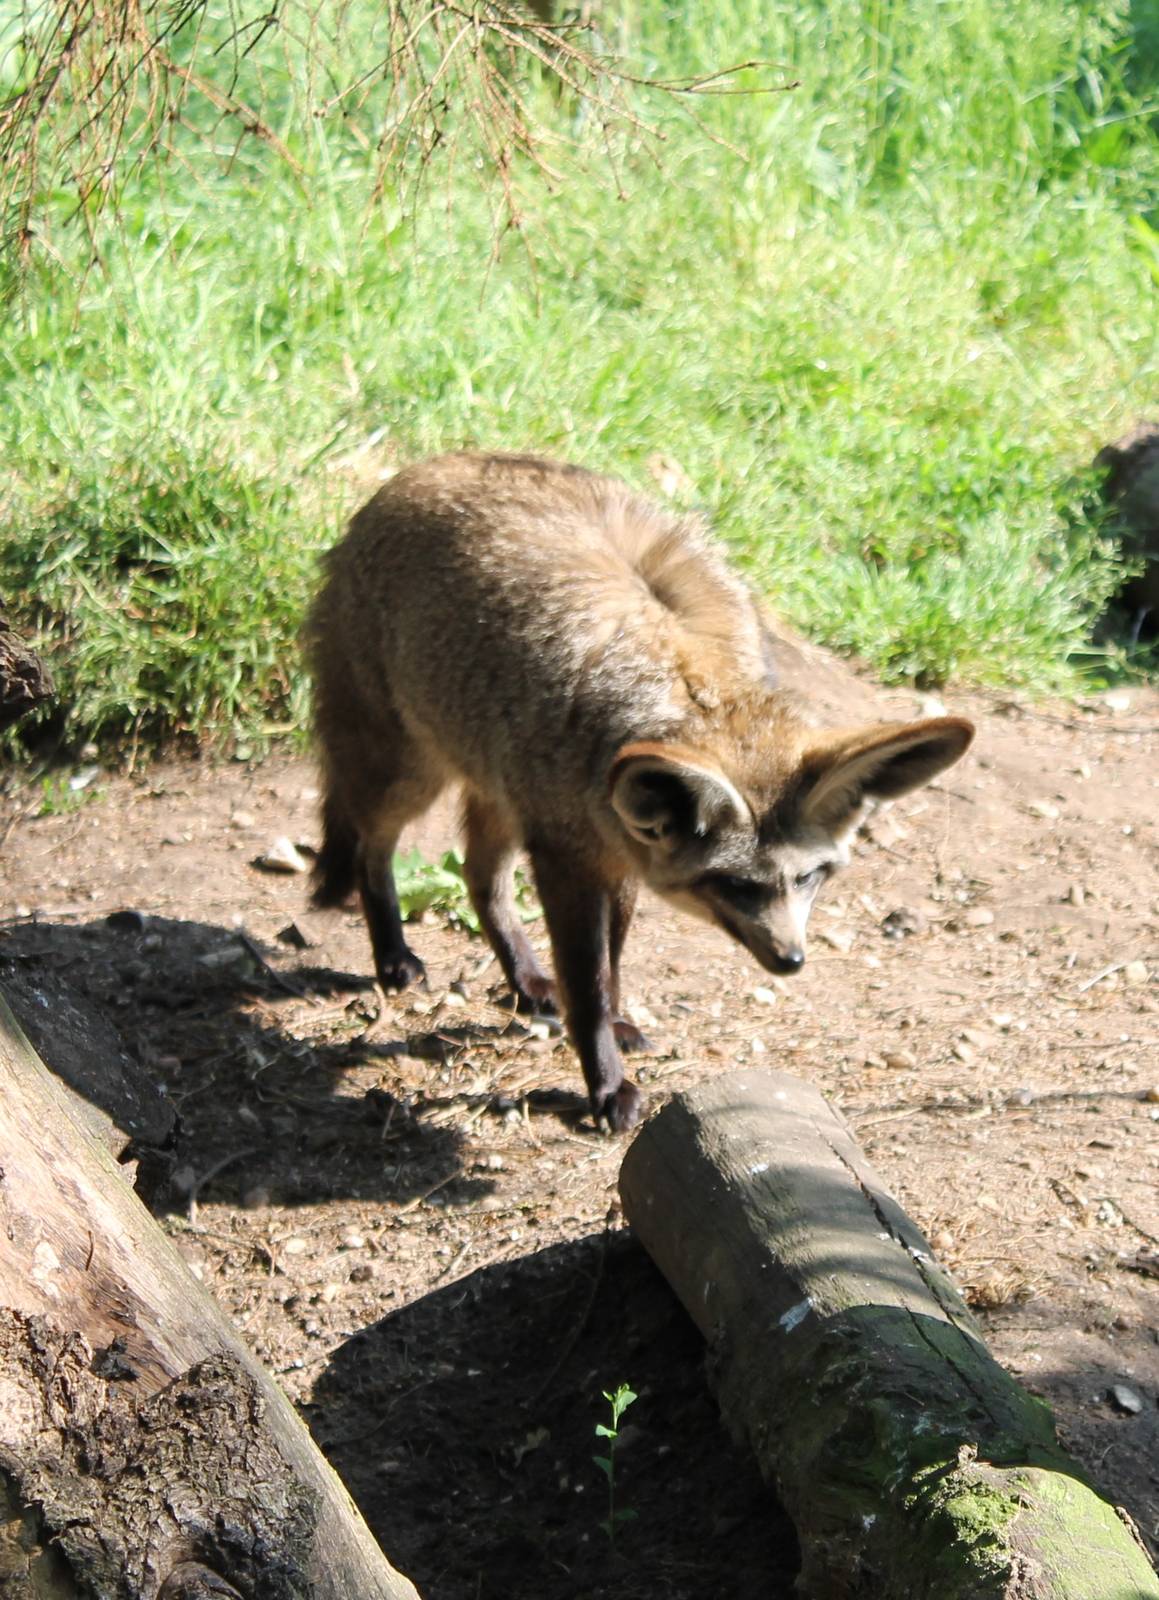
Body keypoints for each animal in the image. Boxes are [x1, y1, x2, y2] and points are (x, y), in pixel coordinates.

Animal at [305, 452, 974, 1132]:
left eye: (809, 878)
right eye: (736, 885)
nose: (791, 959)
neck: (674, 672)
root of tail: (423, 466)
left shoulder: (618, 851)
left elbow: (613, 966)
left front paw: (617, 1026)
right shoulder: (569, 857)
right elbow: (590, 986)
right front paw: (605, 1082)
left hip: (498, 790)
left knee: (478, 877)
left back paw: (526, 978)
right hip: (413, 775)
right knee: (371, 845)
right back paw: (393, 955)